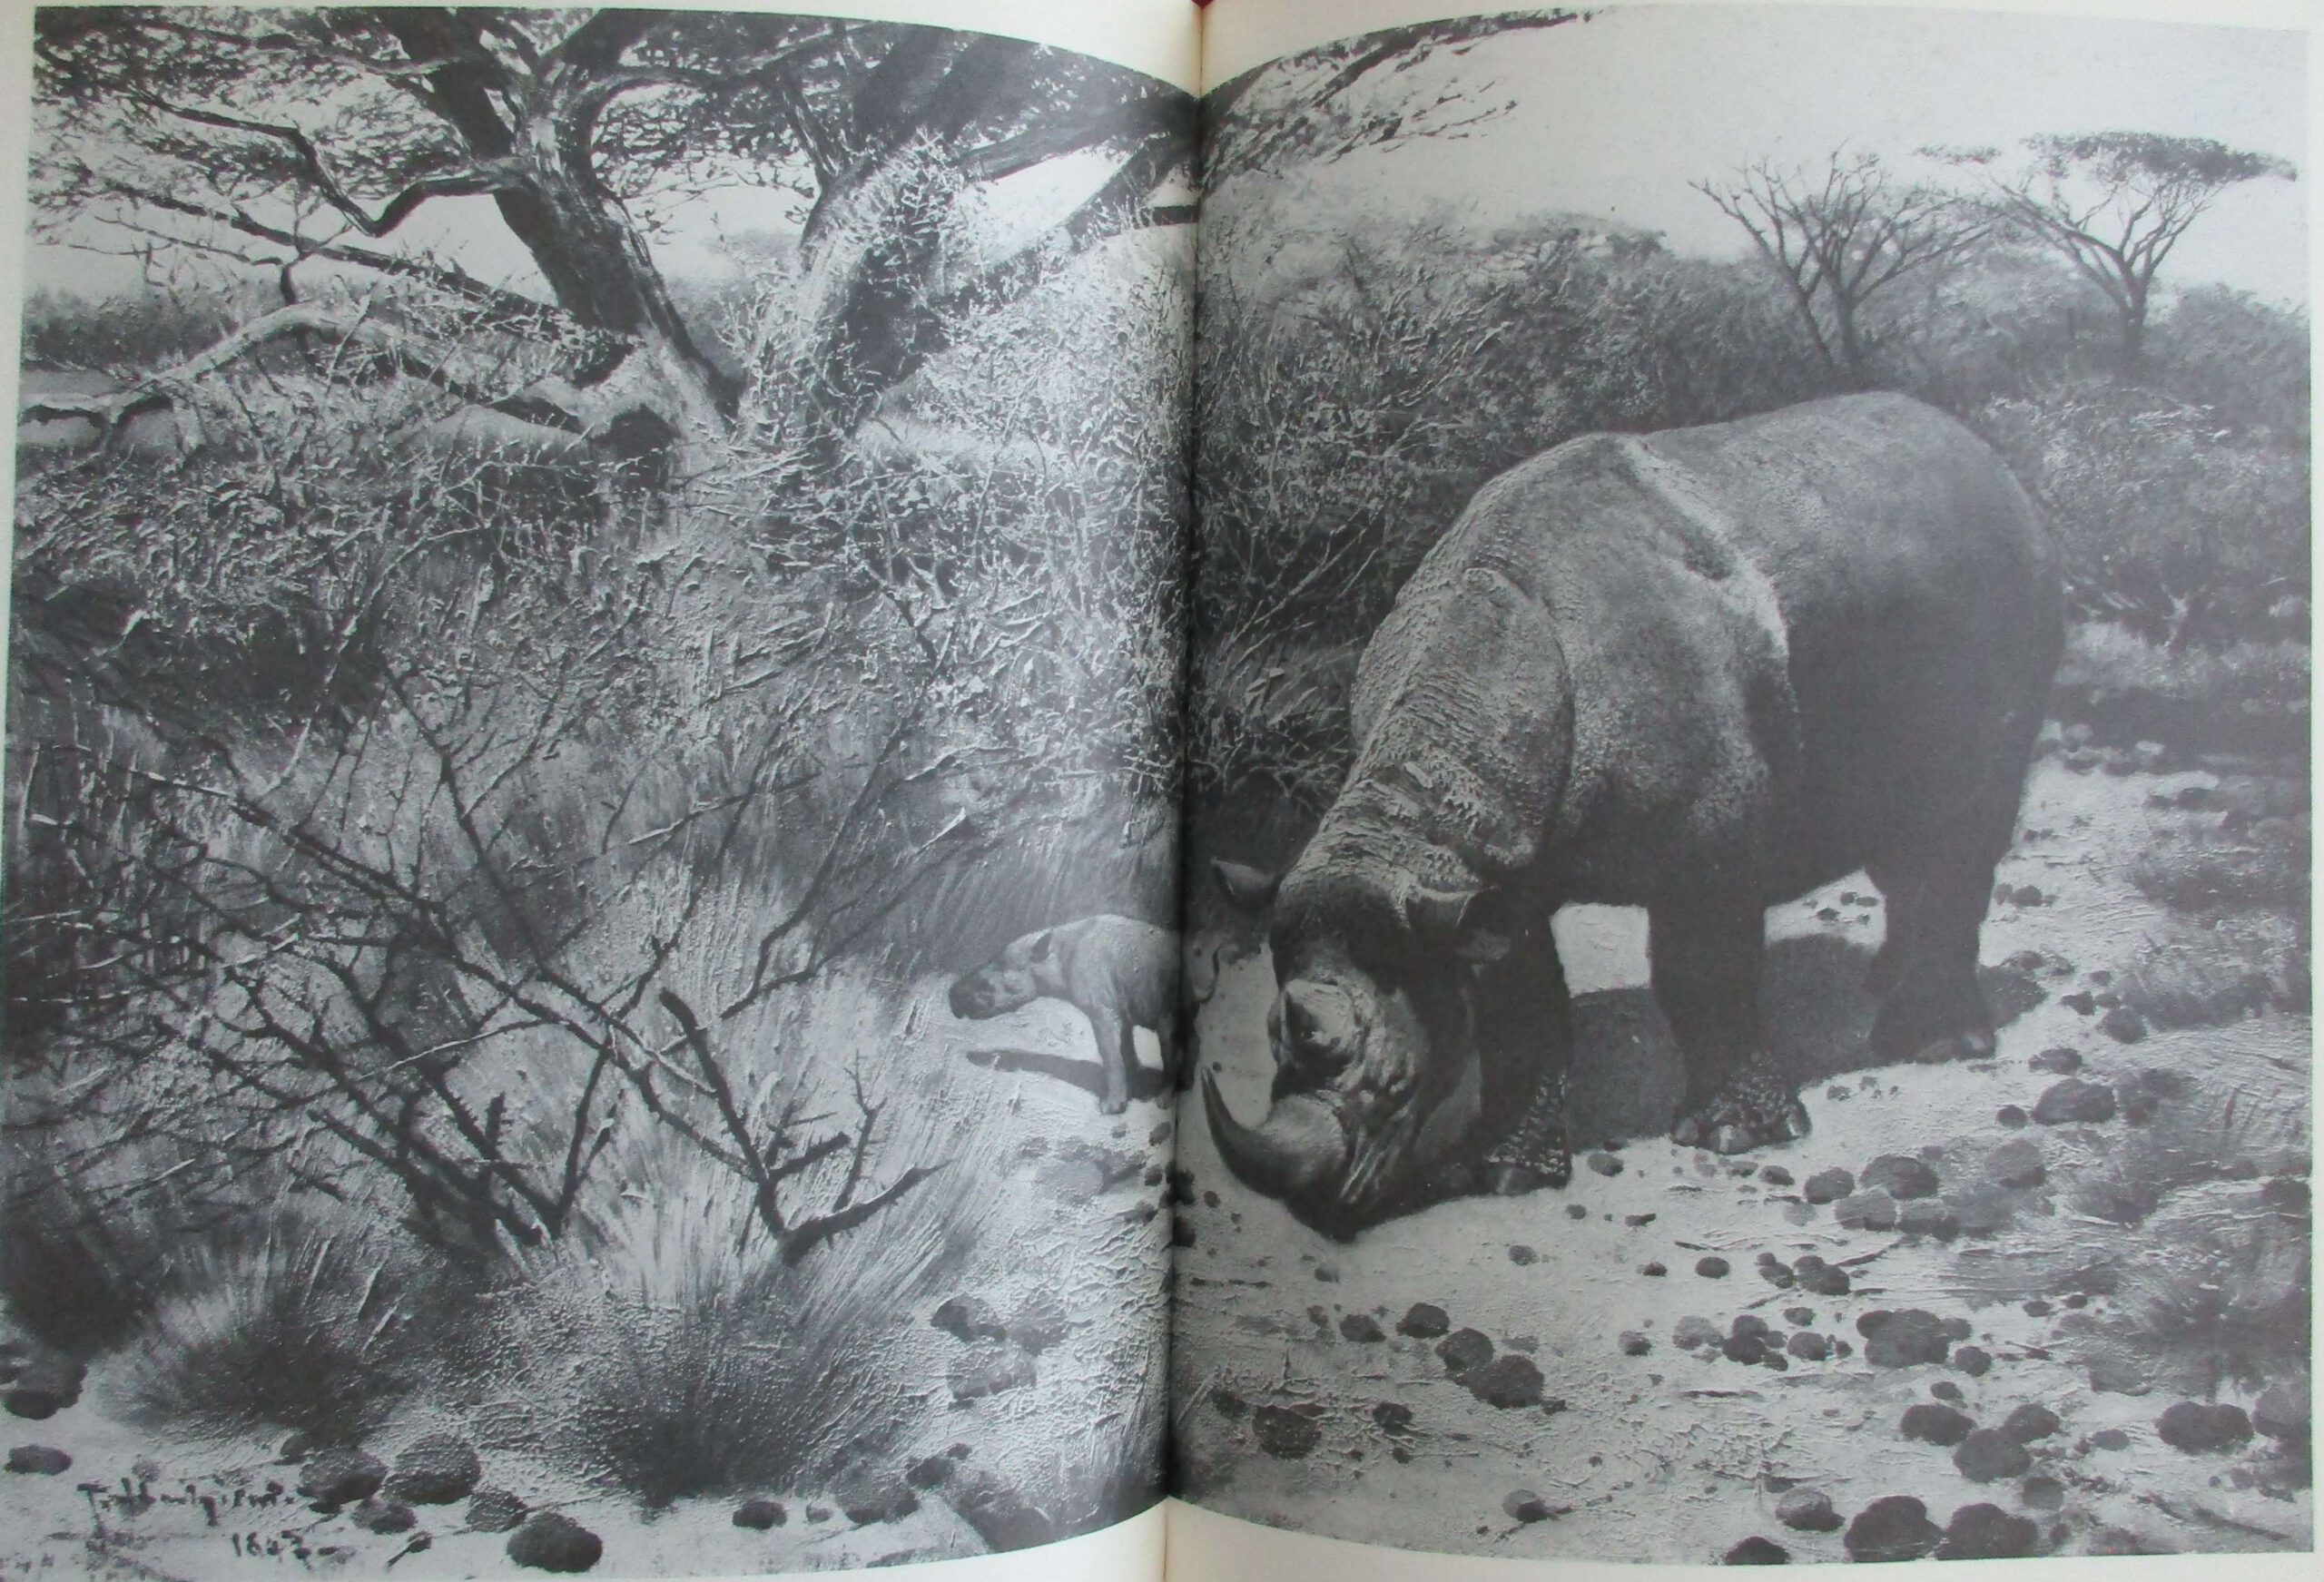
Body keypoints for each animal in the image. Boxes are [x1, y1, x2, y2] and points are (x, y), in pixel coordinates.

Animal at [1203, 394, 2063, 1238]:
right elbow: (1521, 1009)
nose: (1311, 1210)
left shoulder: (1708, 851)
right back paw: (1883, 983)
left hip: (2012, 588)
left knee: (1966, 824)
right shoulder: (1486, 875)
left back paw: (1932, 1042)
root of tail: (1988, 456)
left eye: (1393, 1084)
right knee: (1906, 844)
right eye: (1271, 1041)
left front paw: (1731, 1136)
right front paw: (1503, 1174)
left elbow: (1701, 974)